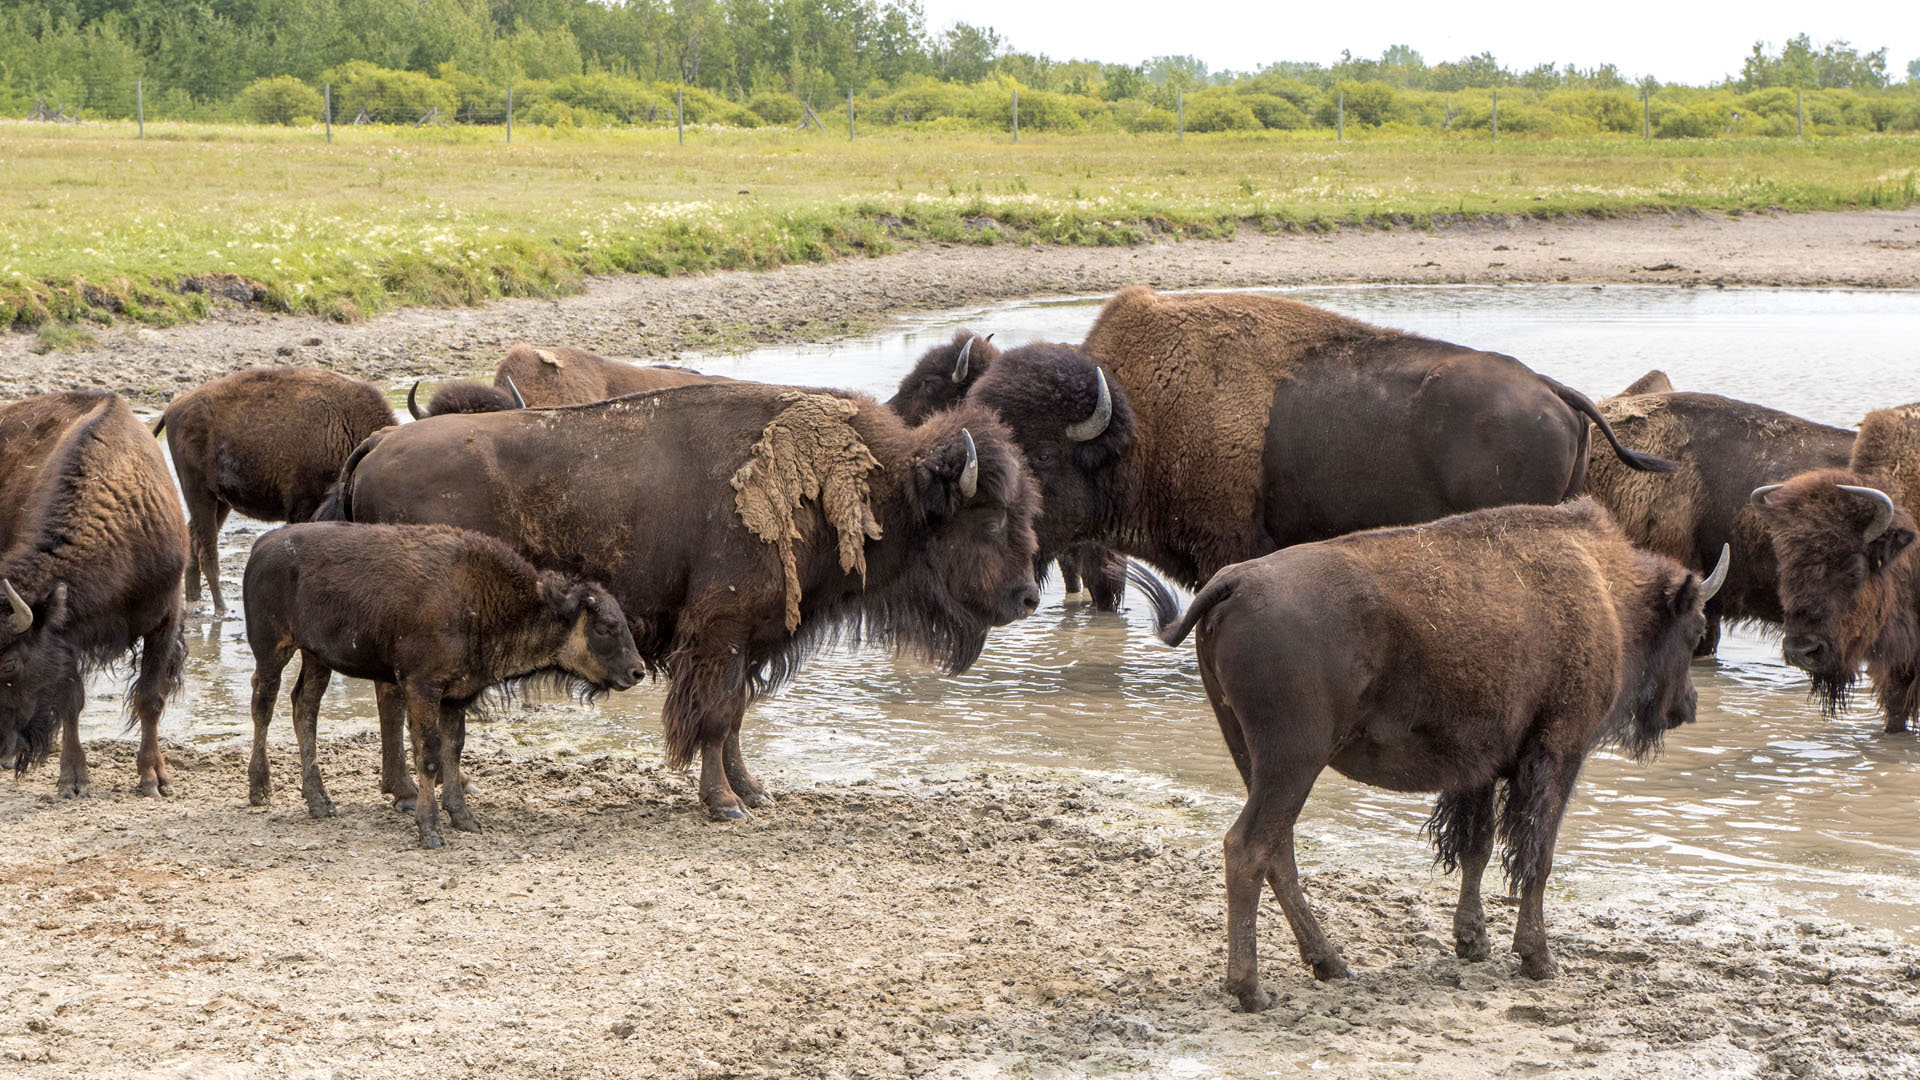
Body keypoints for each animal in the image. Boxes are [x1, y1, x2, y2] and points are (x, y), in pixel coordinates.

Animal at [1, 393, 187, 797]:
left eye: (9, 665)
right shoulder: (70, 638)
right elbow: (71, 703)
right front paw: (73, 780)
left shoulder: (166, 618)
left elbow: (150, 698)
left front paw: (154, 779)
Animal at [153, 366, 397, 611]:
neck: (342, 425)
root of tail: (173, 408)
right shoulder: (301, 509)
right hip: (199, 494)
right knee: (207, 550)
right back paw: (221, 607)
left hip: (220, 501)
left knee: (193, 539)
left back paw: (195, 600)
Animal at [244, 522, 643, 847]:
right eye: (604, 627)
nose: (637, 671)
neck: (481, 597)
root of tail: (263, 544)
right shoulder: (423, 688)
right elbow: (430, 753)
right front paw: (430, 830)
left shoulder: (457, 695)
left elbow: (454, 748)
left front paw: (465, 817)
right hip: (273, 650)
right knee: (264, 703)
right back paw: (260, 790)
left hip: (316, 658)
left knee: (304, 707)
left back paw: (320, 802)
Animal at [317, 382, 1041, 818]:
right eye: (989, 519)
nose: (1029, 596)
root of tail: (379, 442)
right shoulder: (719, 634)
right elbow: (714, 719)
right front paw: (723, 803)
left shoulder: (747, 641)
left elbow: (736, 718)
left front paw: (753, 790)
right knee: (394, 696)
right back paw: (416, 791)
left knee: (385, 695)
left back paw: (403, 789)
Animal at [1137, 499, 1725, 1009]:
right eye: (1694, 628)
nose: (1689, 706)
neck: (1605, 590)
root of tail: (1234, 580)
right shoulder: (1557, 756)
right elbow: (1537, 856)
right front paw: (1538, 959)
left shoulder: (1480, 770)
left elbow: (1477, 848)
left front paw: (1473, 943)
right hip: (1293, 761)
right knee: (1249, 848)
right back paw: (1253, 991)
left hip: (1252, 755)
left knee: (1277, 852)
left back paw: (1331, 964)